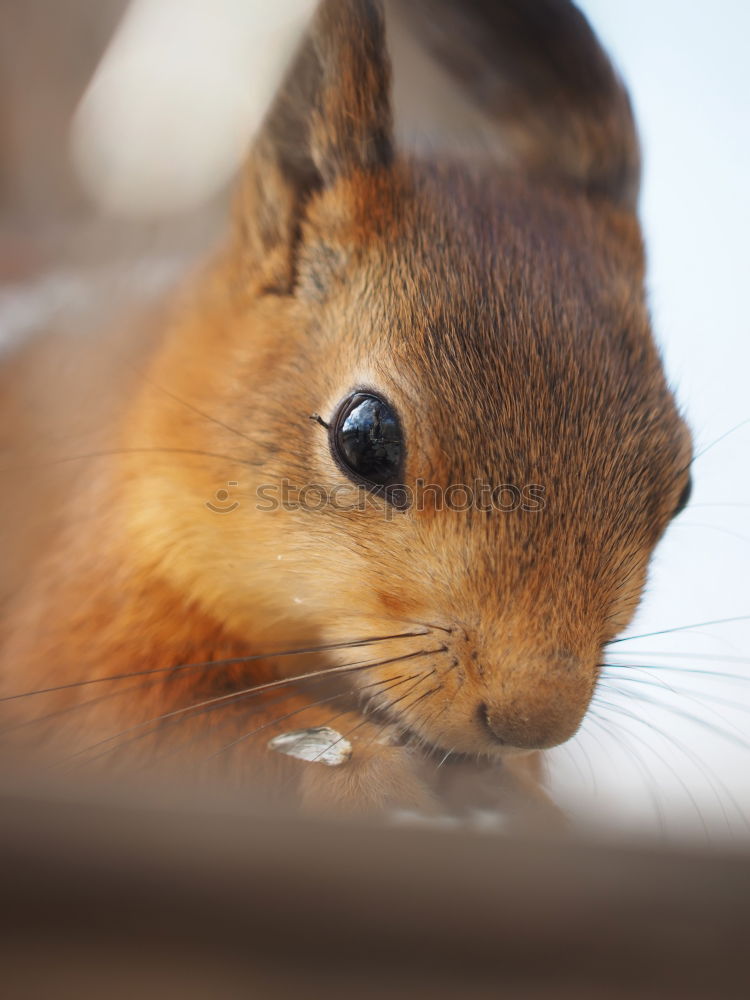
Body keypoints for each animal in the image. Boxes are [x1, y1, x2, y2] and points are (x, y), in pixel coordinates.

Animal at [0, 0, 692, 812]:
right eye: (363, 437)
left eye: (682, 487)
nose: (533, 721)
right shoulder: (78, 613)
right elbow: (128, 721)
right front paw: (360, 767)